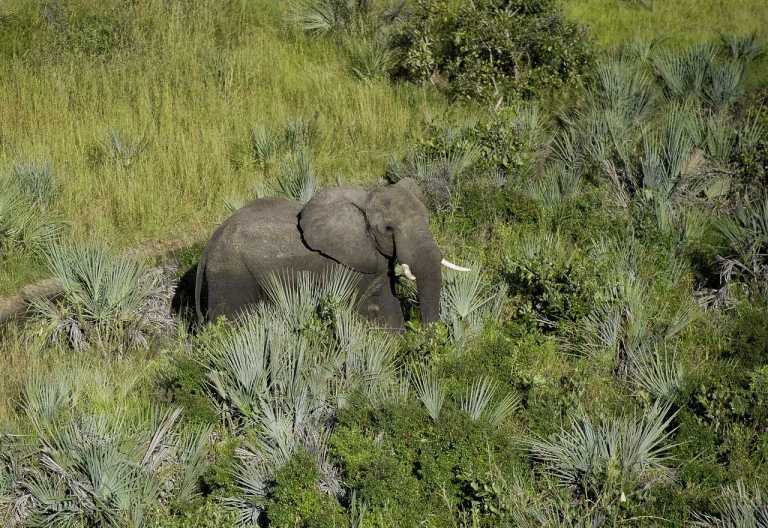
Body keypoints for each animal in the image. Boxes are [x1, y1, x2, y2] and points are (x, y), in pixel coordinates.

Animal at [194, 178, 470, 330]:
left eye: (427, 219)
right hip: (231, 273)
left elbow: (385, 298)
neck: (367, 197)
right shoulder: (344, 263)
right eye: (388, 229)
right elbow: (370, 303)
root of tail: (209, 246)